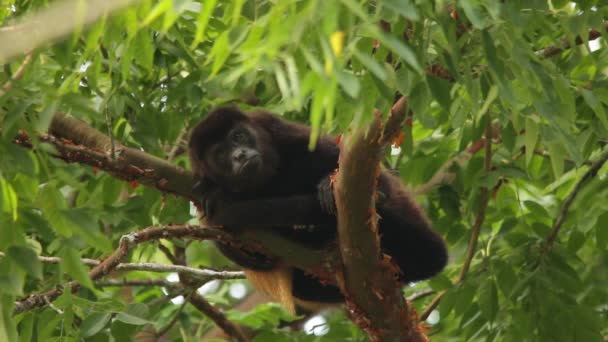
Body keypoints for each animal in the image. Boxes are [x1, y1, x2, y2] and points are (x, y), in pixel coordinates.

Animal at [188, 107, 448, 312]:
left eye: (239, 136)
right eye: (220, 154)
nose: (239, 154)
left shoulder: (275, 127)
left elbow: (366, 177)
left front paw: (328, 185)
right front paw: (217, 194)